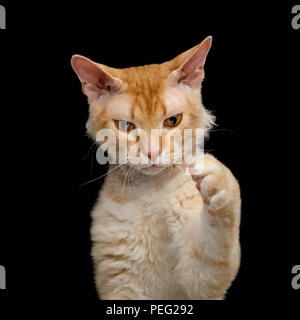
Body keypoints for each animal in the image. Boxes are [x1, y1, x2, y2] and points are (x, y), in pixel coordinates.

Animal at [71, 37, 243, 300]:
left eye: (173, 121)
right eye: (125, 126)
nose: (152, 152)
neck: (148, 195)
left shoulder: (200, 280)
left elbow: (217, 246)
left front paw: (217, 181)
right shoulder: (119, 281)